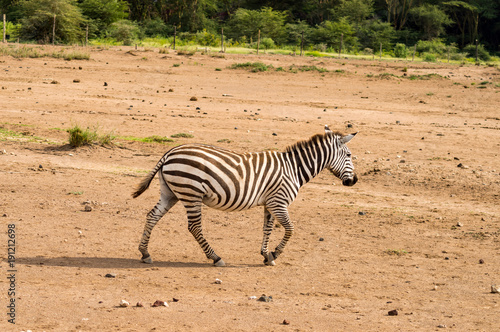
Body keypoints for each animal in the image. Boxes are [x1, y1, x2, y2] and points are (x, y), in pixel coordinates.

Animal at [133, 125, 358, 268]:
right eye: (348, 155)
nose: (354, 181)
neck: (294, 168)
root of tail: (169, 153)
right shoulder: (279, 202)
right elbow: (290, 229)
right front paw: (275, 253)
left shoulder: (270, 203)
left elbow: (267, 228)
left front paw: (266, 255)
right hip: (191, 193)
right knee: (194, 227)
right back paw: (216, 257)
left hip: (171, 192)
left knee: (152, 216)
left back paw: (145, 253)